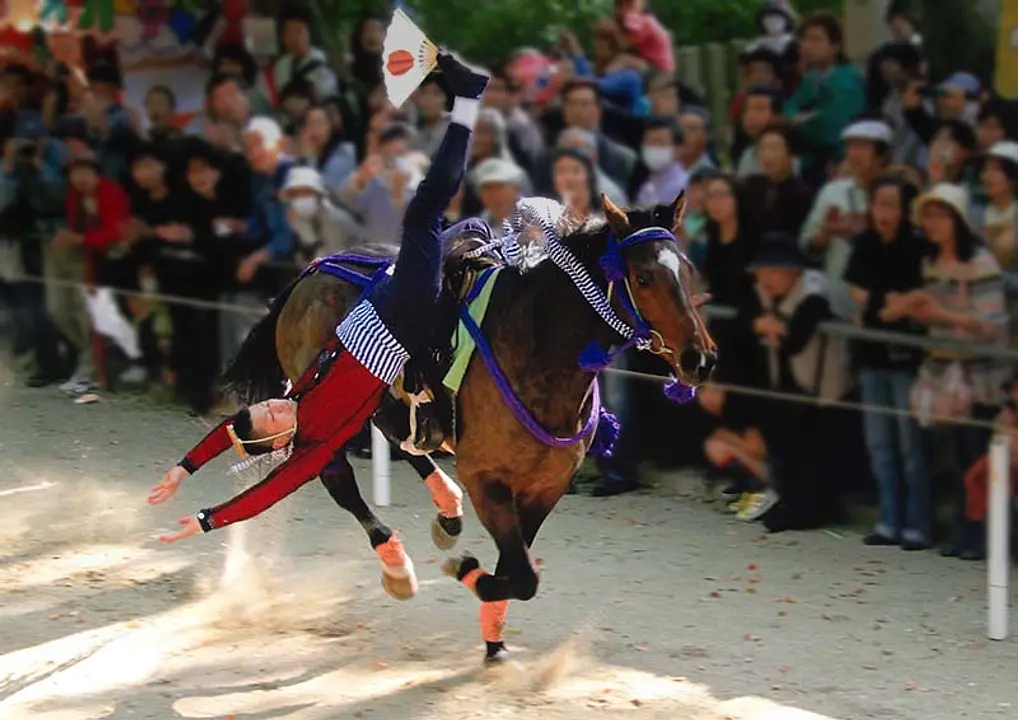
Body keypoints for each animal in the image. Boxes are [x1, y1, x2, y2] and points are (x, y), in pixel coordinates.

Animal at [221, 194, 716, 662]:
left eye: (689, 271)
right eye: (644, 278)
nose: (701, 358)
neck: (538, 349)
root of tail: (313, 271)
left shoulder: (546, 486)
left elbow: (518, 570)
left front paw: (493, 638)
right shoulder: (488, 481)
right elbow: (522, 576)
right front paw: (465, 572)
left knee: (401, 437)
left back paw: (447, 509)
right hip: (330, 401)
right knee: (337, 476)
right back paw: (397, 565)